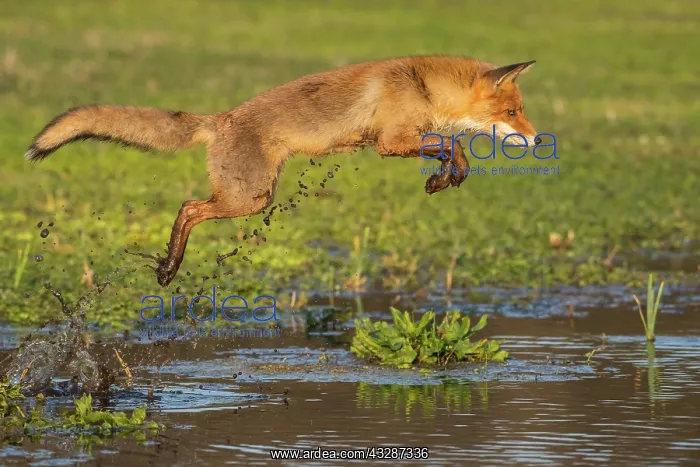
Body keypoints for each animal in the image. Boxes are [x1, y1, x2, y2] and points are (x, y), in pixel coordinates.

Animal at [25, 56, 541, 287]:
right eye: (513, 112)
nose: (537, 139)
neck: (424, 86)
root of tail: (221, 119)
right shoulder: (390, 143)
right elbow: (454, 144)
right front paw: (446, 175)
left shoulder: (402, 141)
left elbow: (455, 150)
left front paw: (444, 178)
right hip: (250, 198)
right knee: (189, 207)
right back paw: (170, 265)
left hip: (252, 197)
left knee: (191, 206)